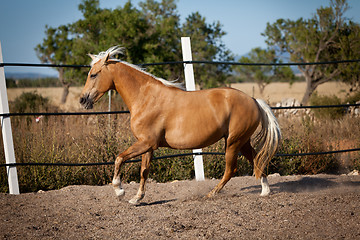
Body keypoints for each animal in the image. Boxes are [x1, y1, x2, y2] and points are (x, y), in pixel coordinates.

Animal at [79, 46, 282, 203]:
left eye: (94, 75)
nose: (83, 100)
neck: (145, 98)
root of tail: (254, 101)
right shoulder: (147, 146)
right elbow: (144, 171)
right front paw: (137, 198)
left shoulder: (146, 143)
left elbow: (119, 158)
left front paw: (119, 190)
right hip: (242, 141)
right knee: (258, 161)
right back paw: (265, 191)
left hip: (233, 143)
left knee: (231, 170)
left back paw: (211, 194)